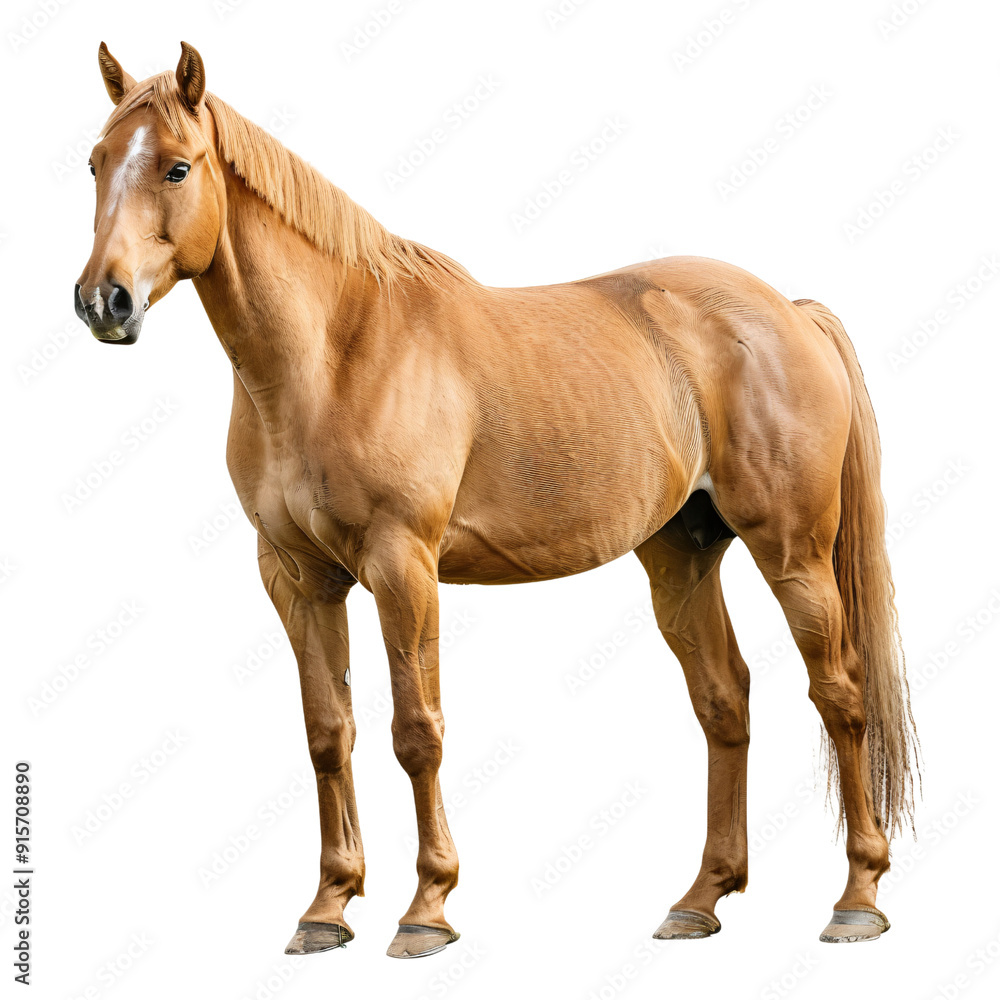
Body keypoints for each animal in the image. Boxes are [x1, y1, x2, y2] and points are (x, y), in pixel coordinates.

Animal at [74, 42, 919, 958]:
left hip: (792, 551)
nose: (103, 302)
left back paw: (857, 897)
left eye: (177, 167)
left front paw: (426, 909)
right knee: (725, 700)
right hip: (681, 555)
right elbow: (328, 733)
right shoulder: (298, 578)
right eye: (95, 163)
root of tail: (789, 313)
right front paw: (327, 908)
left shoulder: (402, 566)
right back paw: (701, 899)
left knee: (839, 693)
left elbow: (417, 731)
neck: (334, 354)